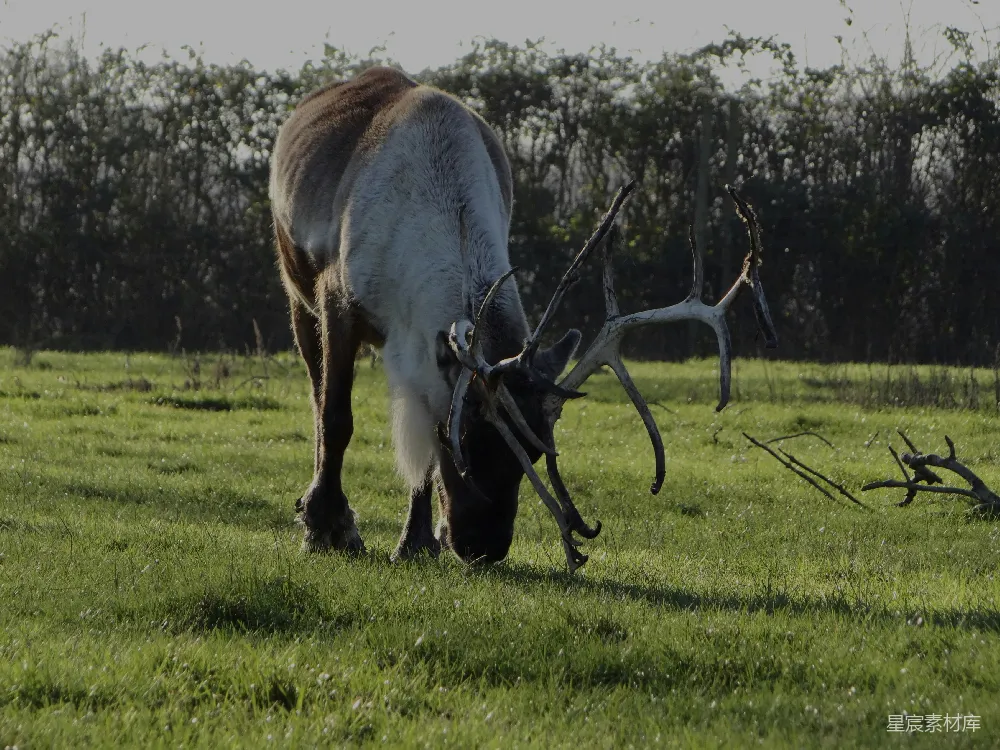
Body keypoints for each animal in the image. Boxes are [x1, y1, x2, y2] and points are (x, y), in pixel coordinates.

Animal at [268, 66, 778, 571]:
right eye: (464, 443)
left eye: (533, 452)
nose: (485, 547)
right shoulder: (339, 303)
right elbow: (337, 418)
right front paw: (328, 528)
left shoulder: (428, 355)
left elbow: (424, 442)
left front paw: (416, 541)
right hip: (296, 295)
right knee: (317, 398)